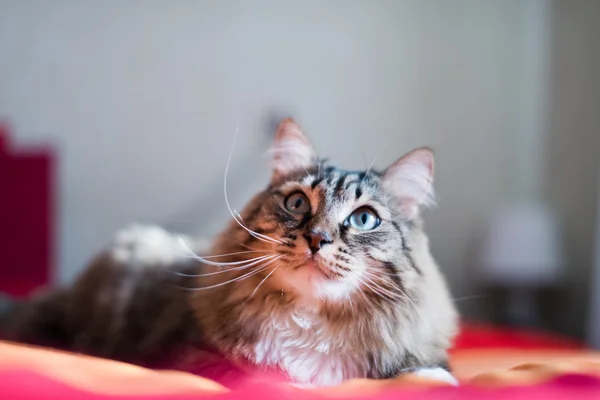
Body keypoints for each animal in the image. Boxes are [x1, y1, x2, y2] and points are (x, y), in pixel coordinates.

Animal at [1, 118, 460, 388]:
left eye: (364, 219)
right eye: (297, 204)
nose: (317, 239)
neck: (311, 322)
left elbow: (426, 372)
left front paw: (435, 380)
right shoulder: (189, 356)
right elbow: (267, 380)